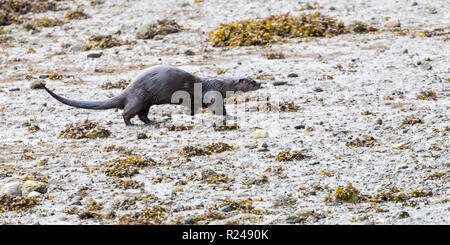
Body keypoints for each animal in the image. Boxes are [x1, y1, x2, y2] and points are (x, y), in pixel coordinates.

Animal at [43, 64, 260, 125]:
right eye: (252, 81)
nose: (261, 83)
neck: (220, 83)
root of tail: (127, 90)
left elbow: (193, 107)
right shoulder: (214, 94)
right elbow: (218, 108)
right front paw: (231, 117)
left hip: (146, 102)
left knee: (143, 115)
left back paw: (153, 122)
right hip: (139, 99)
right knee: (127, 112)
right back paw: (131, 124)